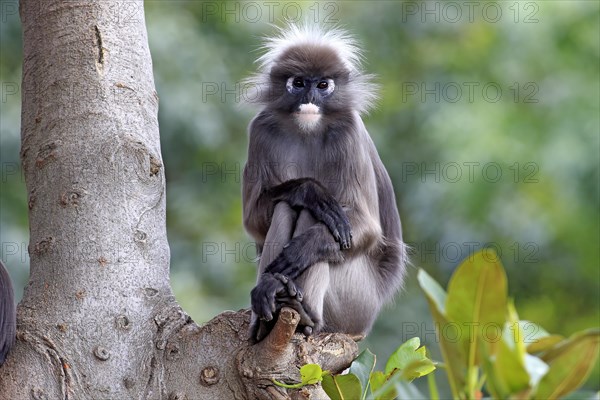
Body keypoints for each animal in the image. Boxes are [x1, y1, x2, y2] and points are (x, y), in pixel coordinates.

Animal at [244, 25, 408, 342]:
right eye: (298, 83)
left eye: (322, 85)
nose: (309, 97)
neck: (308, 128)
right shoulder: (260, 129)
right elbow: (253, 220)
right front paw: (308, 190)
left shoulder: (349, 131)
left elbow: (368, 228)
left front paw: (303, 248)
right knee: (290, 206)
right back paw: (271, 297)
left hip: (355, 300)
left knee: (325, 223)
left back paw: (304, 311)